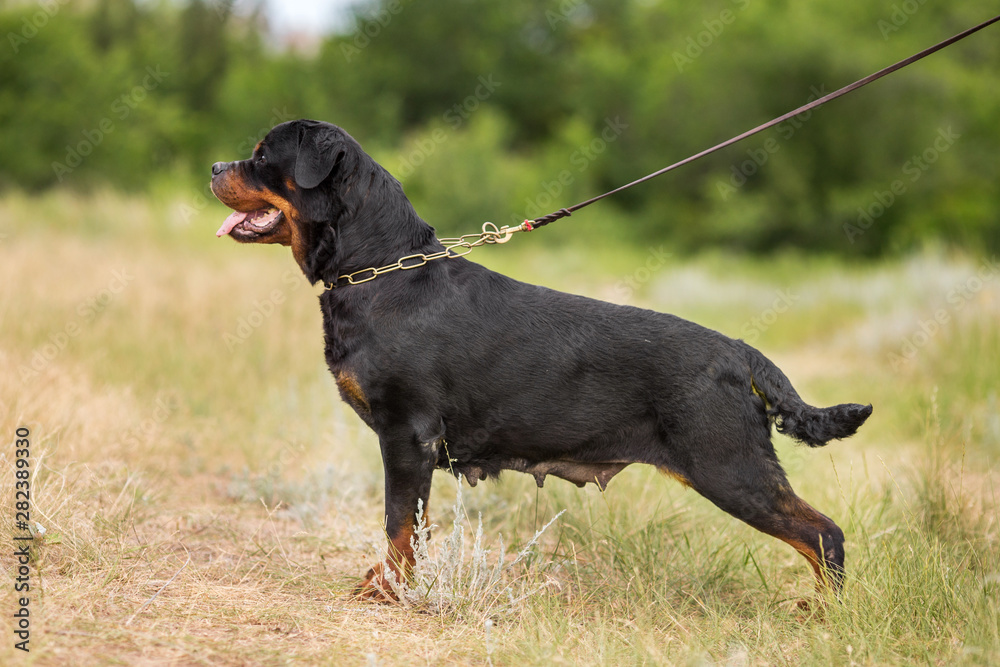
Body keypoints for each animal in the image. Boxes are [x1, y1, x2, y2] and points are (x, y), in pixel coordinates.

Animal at [209, 118, 868, 600]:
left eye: (262, 156)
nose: (215, 167)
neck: (380, 269)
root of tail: (739, 352)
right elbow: (408, 524)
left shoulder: (407, 435)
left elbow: (400, 523)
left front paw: (390, 589)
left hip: (728, 464)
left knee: (823, 534)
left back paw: (824, 617)